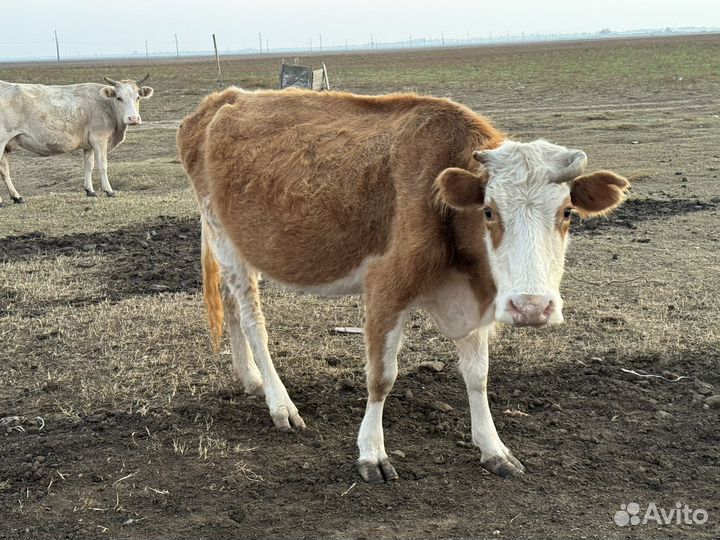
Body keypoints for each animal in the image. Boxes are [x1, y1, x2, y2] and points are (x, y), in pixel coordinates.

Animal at [0, 75, 154, 206]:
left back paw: (17, 197)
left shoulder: (89, 145)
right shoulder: (100, 140)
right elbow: (102, 165)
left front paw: (90, 191)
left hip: (6, 145)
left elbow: (88, 166)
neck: (107, 106)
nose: (133, 118)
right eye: (118, 98)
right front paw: (109, 191)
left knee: (4, 169)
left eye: (138, 97)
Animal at [177, 87, 630, 484]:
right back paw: (279, 402)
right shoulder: (385, 289)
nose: (531, 306)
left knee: (231, 304)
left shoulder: (476, 299)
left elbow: (478, 375)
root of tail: (220, 101)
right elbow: (382, 377)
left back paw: (249, 378)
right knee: (252, 318)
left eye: (567, 212)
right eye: (488, 211)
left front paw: (493, 448)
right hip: (223, 236)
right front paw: (372, 453)